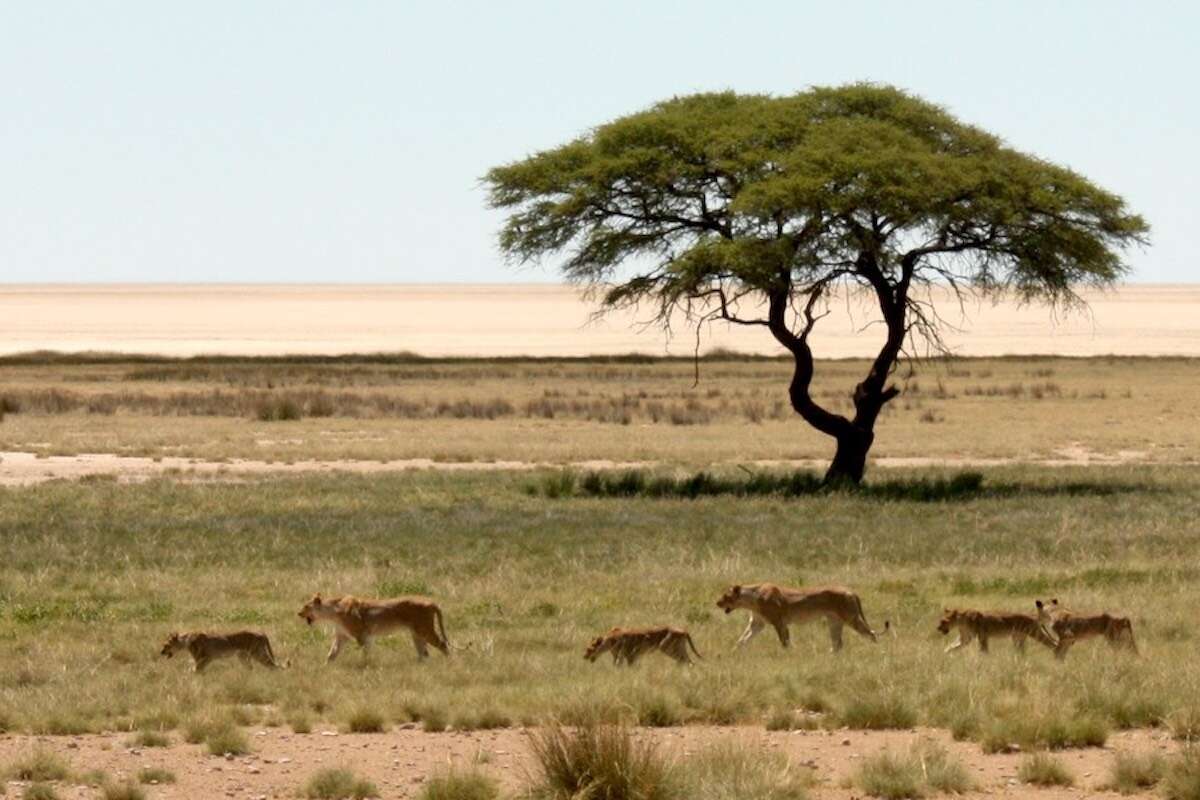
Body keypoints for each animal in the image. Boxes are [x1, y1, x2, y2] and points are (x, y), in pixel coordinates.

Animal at [298, 593, 450, 662]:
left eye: (306, 606)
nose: (298, 613)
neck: (332, 614)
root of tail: (431, 602)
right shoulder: (342, 636)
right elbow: (331, 654)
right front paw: (325, 668)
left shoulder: (362, 634)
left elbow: (365, 652)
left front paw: (365, 665)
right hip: (416, 634)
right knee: (424, 653)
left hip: (425, 630)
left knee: (443, 644)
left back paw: (449, 663)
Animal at [716, 583, 886, 652]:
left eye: (726, 596)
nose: (717, 603)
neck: (750, 600)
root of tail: (851, 591)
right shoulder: (757, 624)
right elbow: (742, 639)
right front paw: (734, 652)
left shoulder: (779, 622)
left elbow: (784, 641)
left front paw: (788, 655)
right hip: (834, 621)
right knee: (838, 643)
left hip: (851, 617)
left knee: (871, 634)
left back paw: (876, 652)